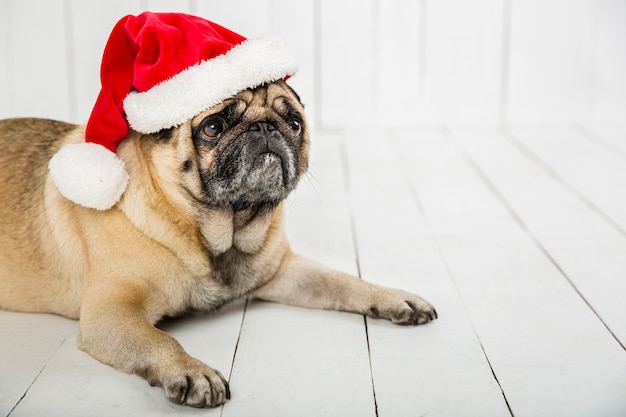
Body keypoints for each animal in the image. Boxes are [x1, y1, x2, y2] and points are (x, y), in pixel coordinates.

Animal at [0, 80, 436, 406]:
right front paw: (190, 371)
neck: (220, 230)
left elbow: (344, 282)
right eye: (213, 128)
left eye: (294, 123)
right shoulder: (111, 313)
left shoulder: (285, 271)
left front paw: (393, 297)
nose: (265, 128)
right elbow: (159, 339)